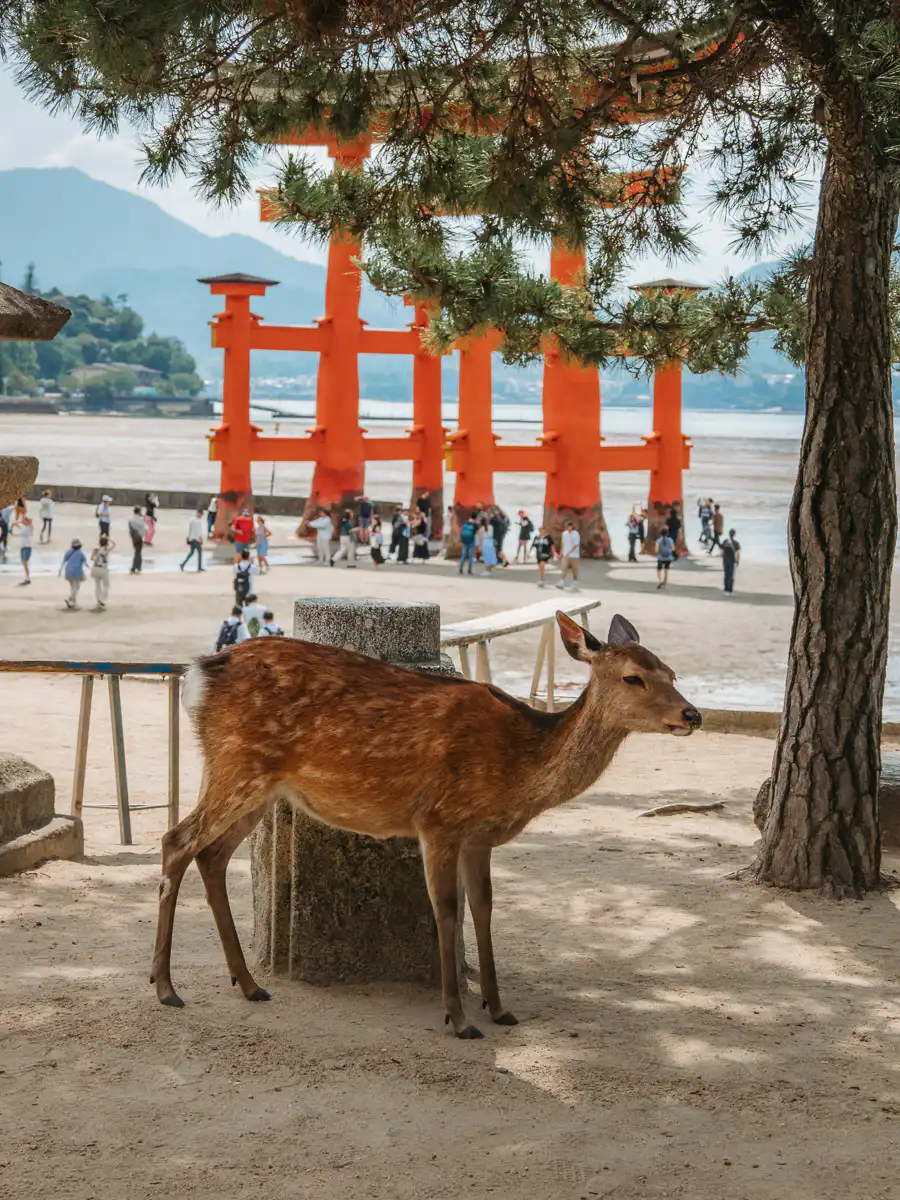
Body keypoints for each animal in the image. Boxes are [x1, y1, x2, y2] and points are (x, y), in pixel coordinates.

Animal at [151, 611, 701, 1038]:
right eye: (634, 677)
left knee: (211, 854)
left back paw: (248, 984)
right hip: (238, 764)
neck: (518, 768)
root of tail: (198, 674)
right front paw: (459, 1018)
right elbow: (446, 909)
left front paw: (499, 1008)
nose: (692, 714)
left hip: (257, 784)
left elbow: (484, 907)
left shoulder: (480, 836)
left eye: (672, 671)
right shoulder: (440, 819)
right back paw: (165, 987)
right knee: (176, 840)